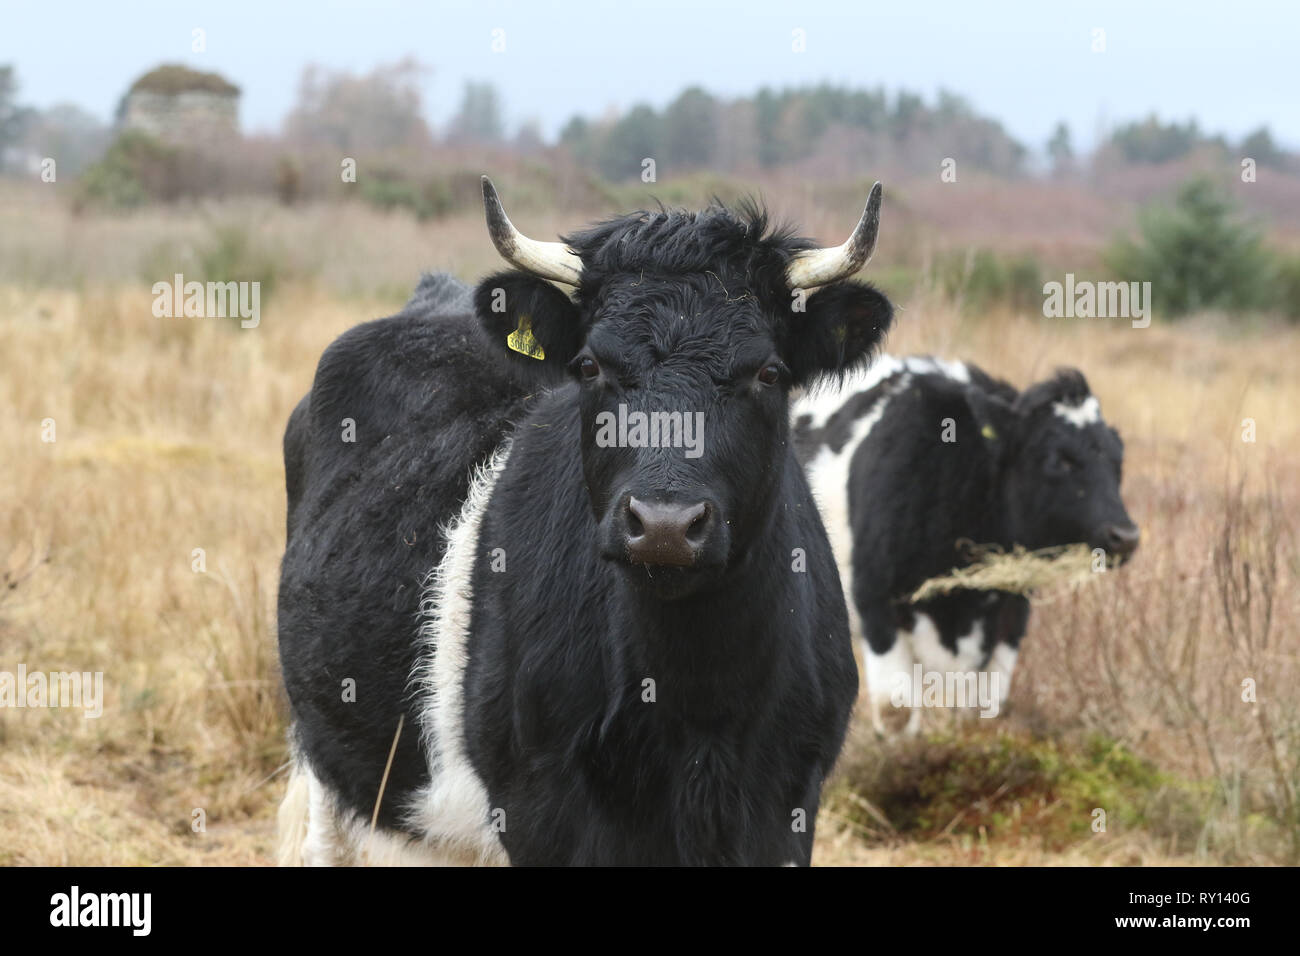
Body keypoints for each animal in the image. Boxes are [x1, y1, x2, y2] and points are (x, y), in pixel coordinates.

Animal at [275, 179, 899, 868]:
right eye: (590, 366)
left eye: (768, 372)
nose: (664, 523)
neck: (696, 701)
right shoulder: (541, 809)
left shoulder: (787, 807)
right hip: (328, 764)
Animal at [785, 356, 1133, 738]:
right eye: (1060, 459)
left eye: (1117, 462)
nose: (1125, 536)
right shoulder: (875, 602)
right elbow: (896, 712)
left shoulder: (1012, 613)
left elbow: (983, 704)